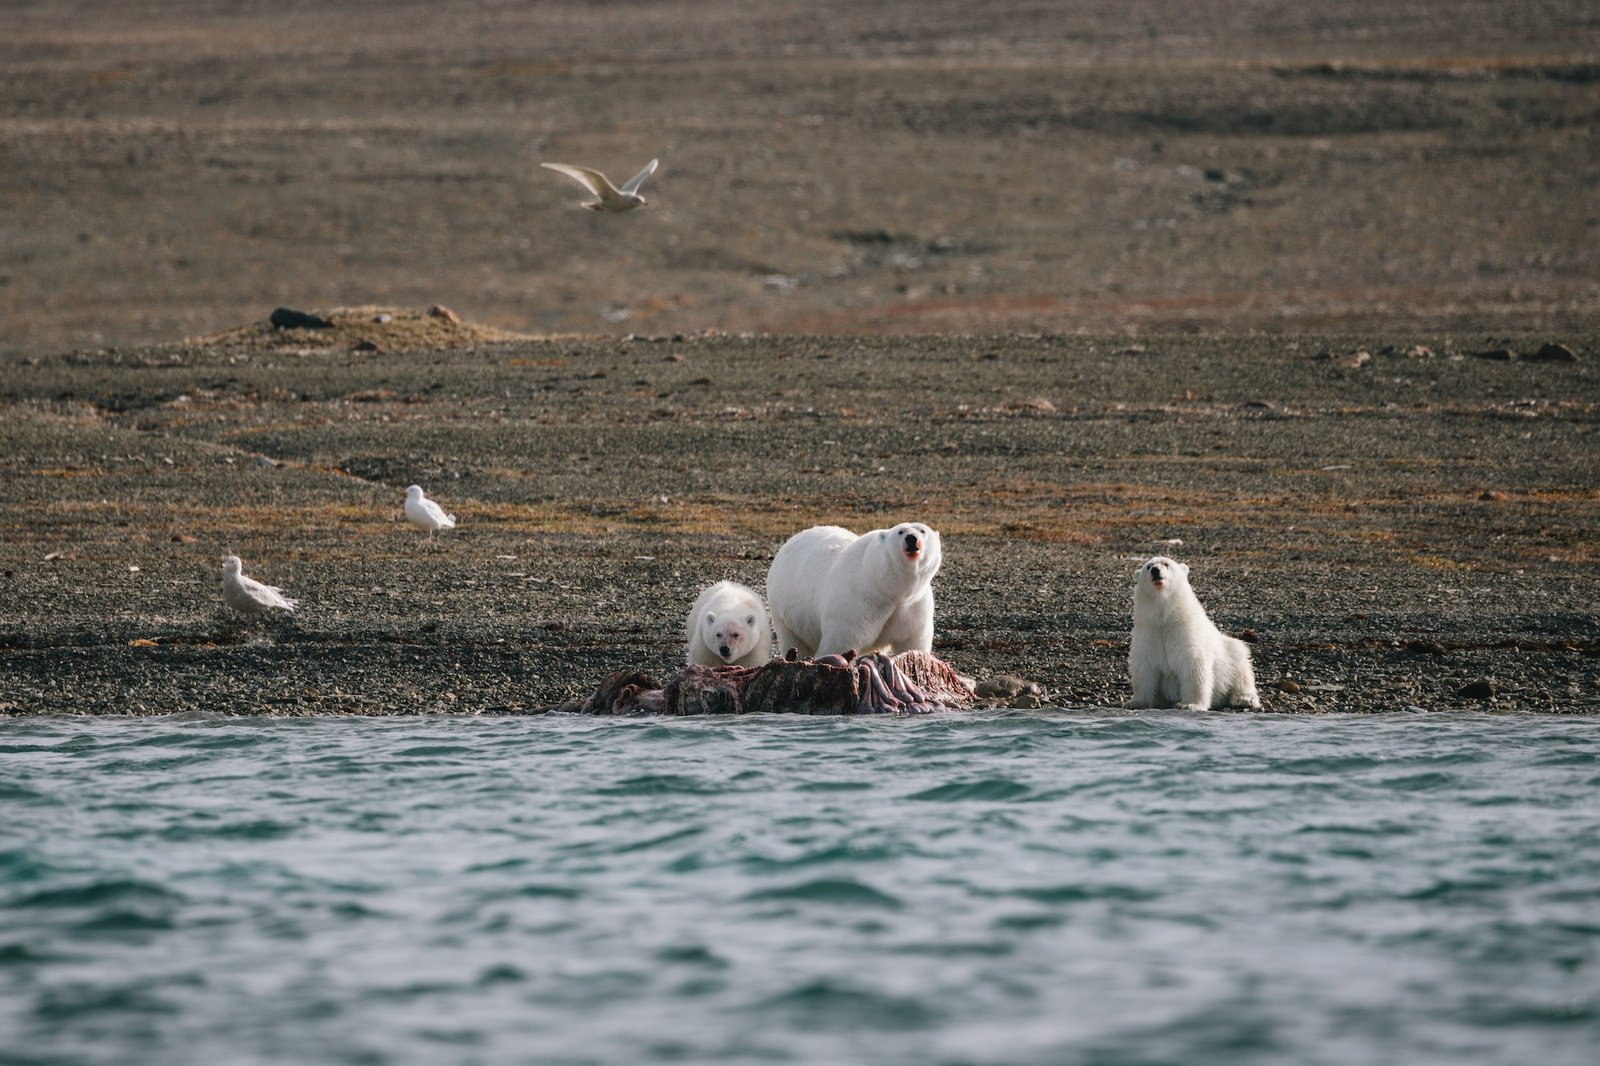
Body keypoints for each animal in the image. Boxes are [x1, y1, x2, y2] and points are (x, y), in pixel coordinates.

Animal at [761, 521, 934, 659]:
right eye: (900, 532)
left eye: (922, 530)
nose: (911, 538)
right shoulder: (857, 601)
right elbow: (840, 643)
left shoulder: (913, 606)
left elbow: (912, 641)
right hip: (785, 613)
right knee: (794, 641)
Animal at [1126, 550, 1260, 710]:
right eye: (1148, 566)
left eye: (1166, 563)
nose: (1155, 570)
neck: (1164, 617)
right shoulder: (1148, 630)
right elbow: (1144, 667)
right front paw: (1136, 702)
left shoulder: (1184, 628)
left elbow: (1193, 663)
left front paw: (1189, 704)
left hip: (1231, 654)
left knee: (1241, 669)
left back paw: (1244, 699)